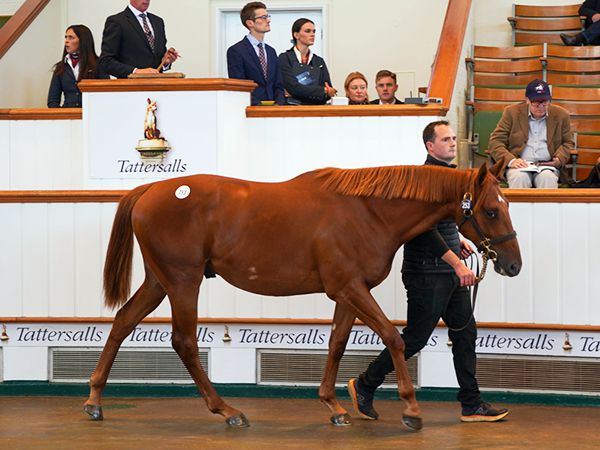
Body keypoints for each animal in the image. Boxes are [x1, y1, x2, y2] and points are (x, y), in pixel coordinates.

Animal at [83, 162, 520, 428]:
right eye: (492, 211)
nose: (513, 265)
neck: (368, 212)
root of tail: (151, 189)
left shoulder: (347, 293)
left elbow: (337, 344)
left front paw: (336, 405)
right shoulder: (350, 288)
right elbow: (394, 338)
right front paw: (411, 409)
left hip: (160, 282)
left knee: (122, 322)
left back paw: (95, 400)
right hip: (183, 281)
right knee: (185, 342)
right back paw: (227, 410)